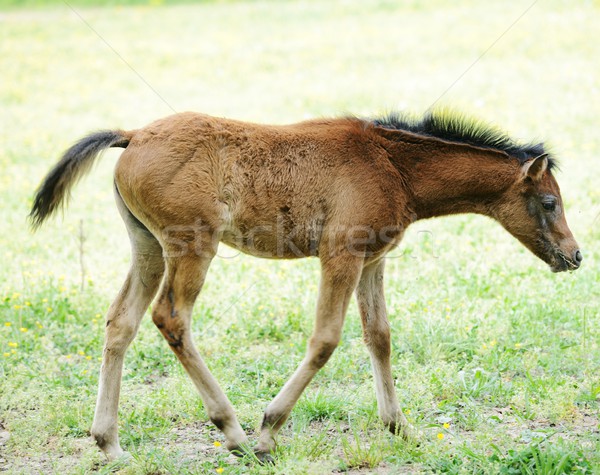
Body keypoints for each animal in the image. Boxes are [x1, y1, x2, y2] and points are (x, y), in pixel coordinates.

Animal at [29, 109, 580, 462]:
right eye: (550, 202)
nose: (575, 256)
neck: (392, 165)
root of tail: (134, 134)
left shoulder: (372, 260)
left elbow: (379, 337)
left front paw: (400, 427)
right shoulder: (340, 255)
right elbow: (326, 339)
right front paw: (269, 430)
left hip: (146, 247)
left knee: (120, 321)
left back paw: (109, 443)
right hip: (192, 246)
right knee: (171, 318)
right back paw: (233, 432)